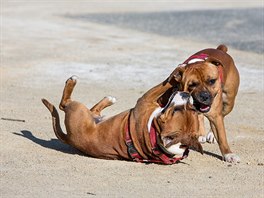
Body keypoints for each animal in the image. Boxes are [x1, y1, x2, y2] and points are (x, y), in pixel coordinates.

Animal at [41, 76, 202, 164]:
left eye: (175, 110)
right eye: (191, 110)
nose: (187, 95)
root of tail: (68, 138)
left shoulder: (145, 98)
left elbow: (166, 82)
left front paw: (178, 71)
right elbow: (166, 84)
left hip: (77, 109)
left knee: (63, 104)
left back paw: (72, 82)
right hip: (90, 113)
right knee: (93, 110)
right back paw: (109, 100)